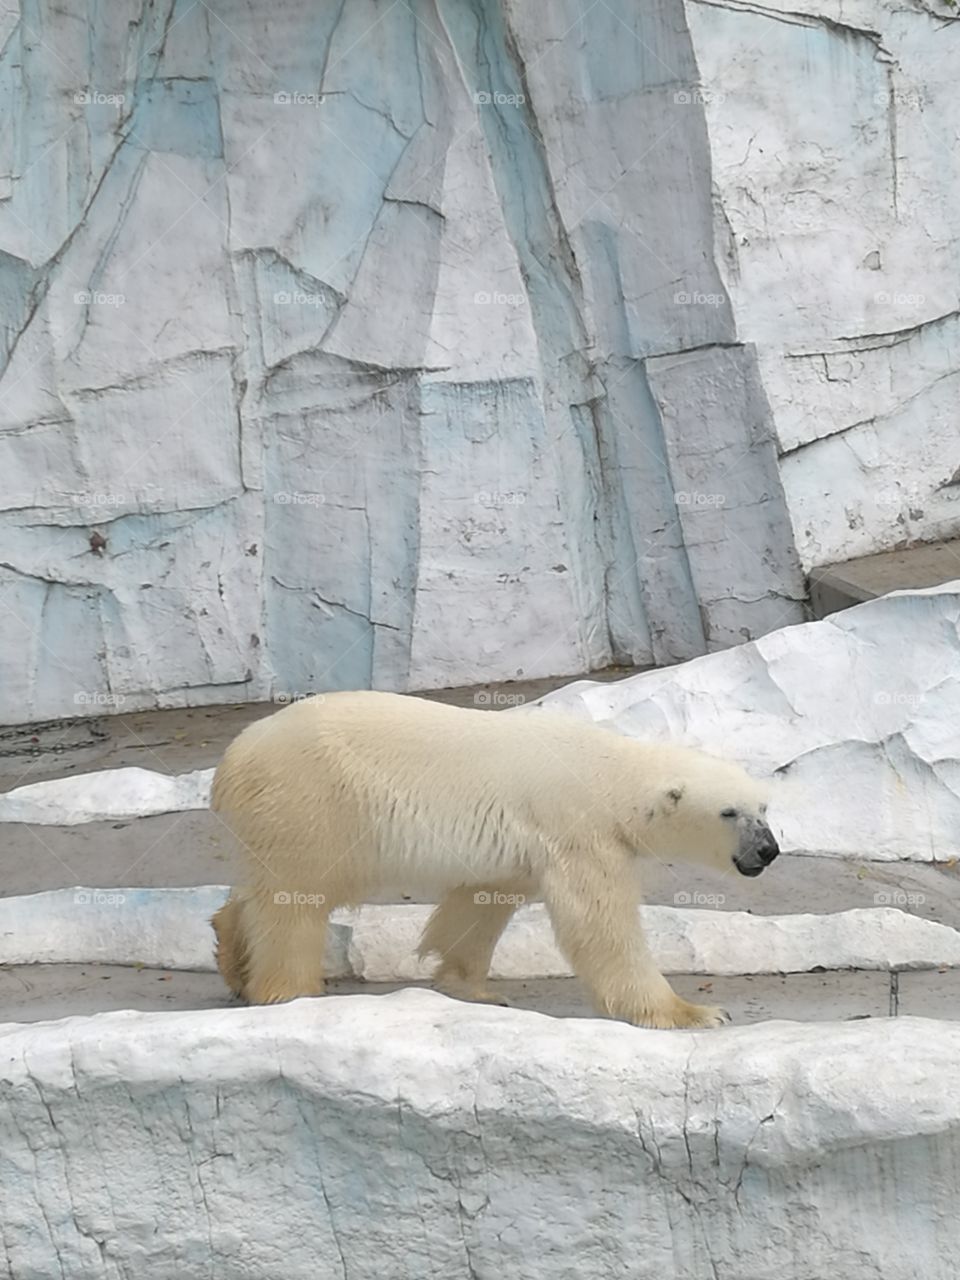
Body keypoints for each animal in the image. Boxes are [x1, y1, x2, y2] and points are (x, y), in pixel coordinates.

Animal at [210, 690, 779, 1029]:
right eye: (729, 812)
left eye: (765, 807)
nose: (768, 850)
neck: (608, 776)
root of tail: (232, 758)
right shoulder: (578, 830)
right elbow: (601, 924)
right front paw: (694, 1011)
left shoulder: (521, 844)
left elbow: (481, 901)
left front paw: (472, 990)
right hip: (313, 800)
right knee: (299, 897)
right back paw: (287, 991)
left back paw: (232, 955)